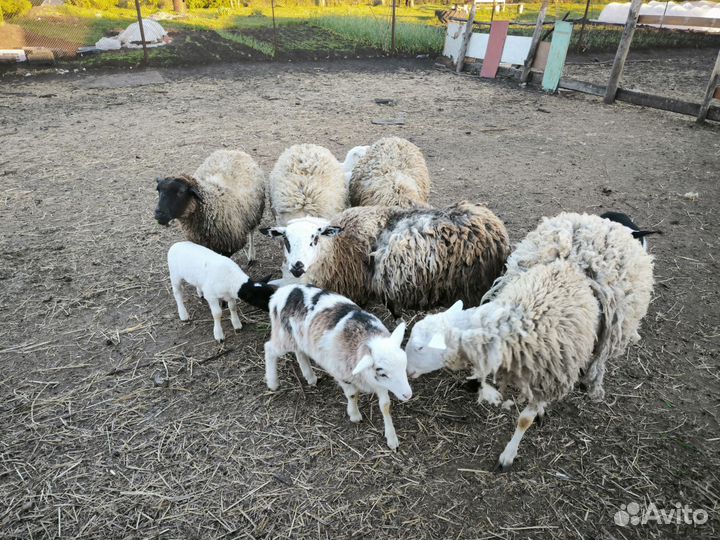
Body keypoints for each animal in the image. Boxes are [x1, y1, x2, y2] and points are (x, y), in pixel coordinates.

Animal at [259, 201, 510, 315]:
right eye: (285, 240)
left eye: (314, 239)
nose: (297, 266)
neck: (337, 247)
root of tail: (494, 226)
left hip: (472, 290)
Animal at [265, 284, 412, 449]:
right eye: (383, 373)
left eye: (404, 365)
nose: (408, 395)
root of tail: (281, 292)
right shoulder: (343, 374)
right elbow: (352, 394)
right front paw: (354, 415)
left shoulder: (378, 383)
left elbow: (385, 405)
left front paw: (392, 438)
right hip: (283, 336)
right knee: (269, 348)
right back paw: (273, 382)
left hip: (298, 338)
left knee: (300, 352)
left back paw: (310, 377)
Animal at [405, 260, 601, 470]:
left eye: (419, 347)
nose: (406, 370)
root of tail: (567, 266)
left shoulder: (545, 378)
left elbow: (524, 420)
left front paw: (508, 455)